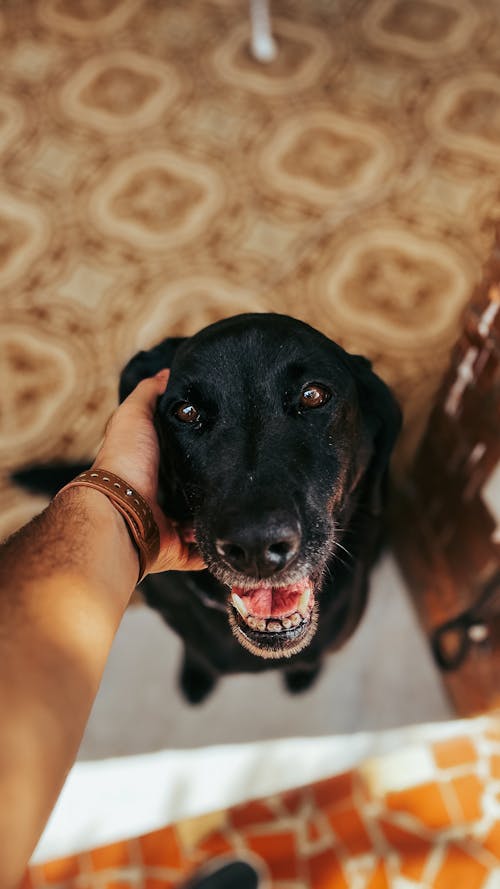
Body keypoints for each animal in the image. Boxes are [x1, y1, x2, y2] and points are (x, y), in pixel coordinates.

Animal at [13, 312, 400, 700]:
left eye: (313, 395)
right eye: (186, 411)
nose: (256, 545)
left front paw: (303, 675)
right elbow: (196, 651)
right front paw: (196, 677)